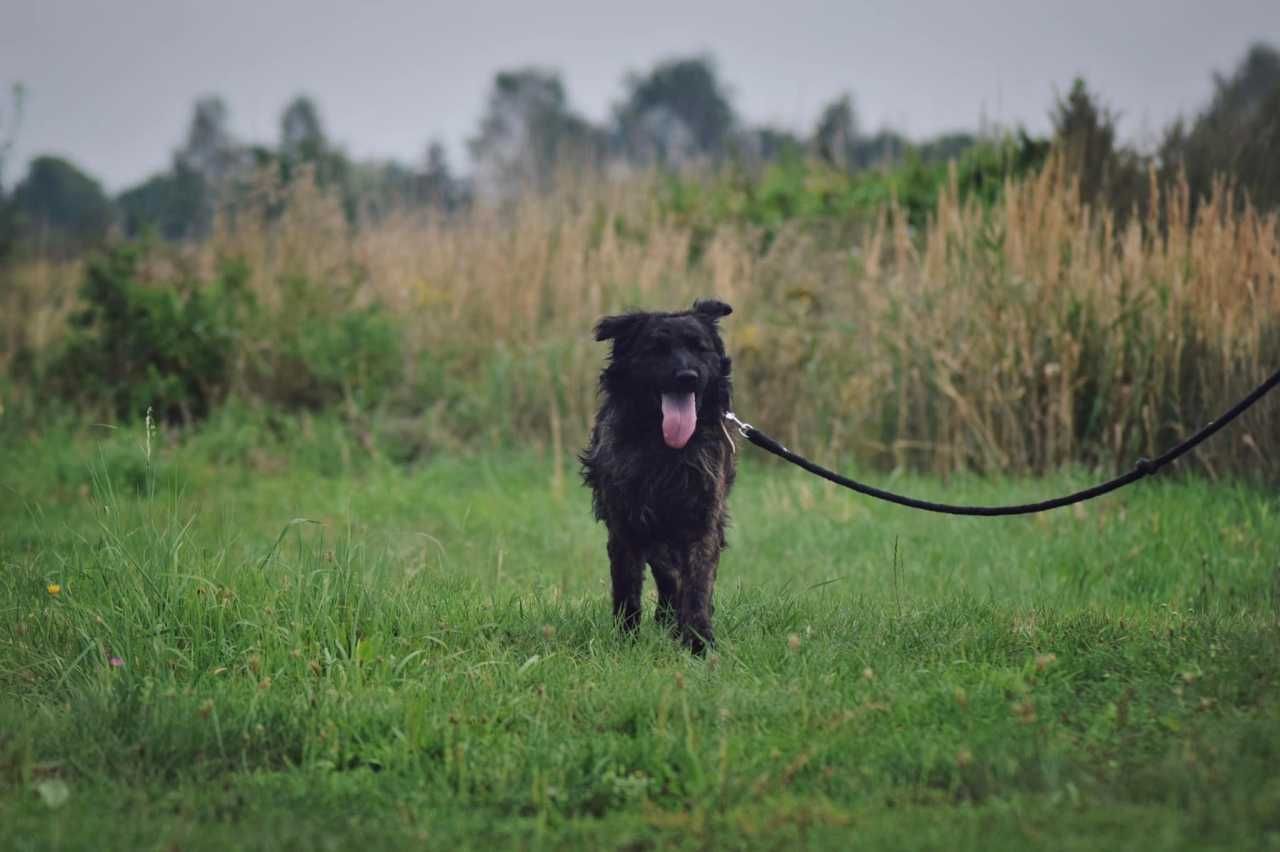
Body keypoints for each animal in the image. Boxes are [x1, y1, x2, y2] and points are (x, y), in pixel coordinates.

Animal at [581, 295, 742, 652]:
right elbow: (628, 589)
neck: (666, 450)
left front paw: (698, 641)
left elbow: (697, 584)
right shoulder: (628, 524)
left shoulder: (702, 520)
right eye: (656, 348)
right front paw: (627, 640)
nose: (687, 376)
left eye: (699, 347)